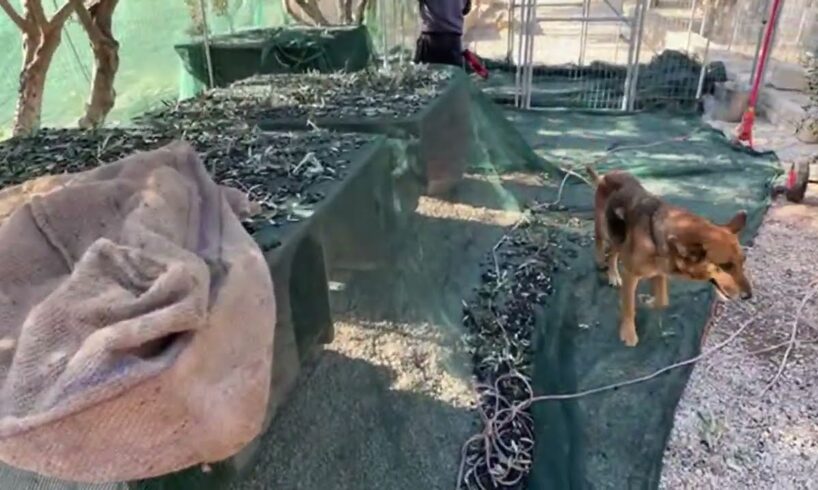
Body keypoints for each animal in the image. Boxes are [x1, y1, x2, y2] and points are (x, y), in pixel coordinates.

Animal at [588, 167, 752, 346]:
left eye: (743, 261)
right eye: (726, 266)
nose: (748, 296)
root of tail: (608, 175)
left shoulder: (659, 272)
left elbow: (662, 300)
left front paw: (648, 302)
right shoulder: (630, 275)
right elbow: (629, 307)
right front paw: (628, 334)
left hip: (618, 236)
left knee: (613, 253)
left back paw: (613, 274)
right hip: (604, 228)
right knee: (601, 243)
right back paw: (603, 264)